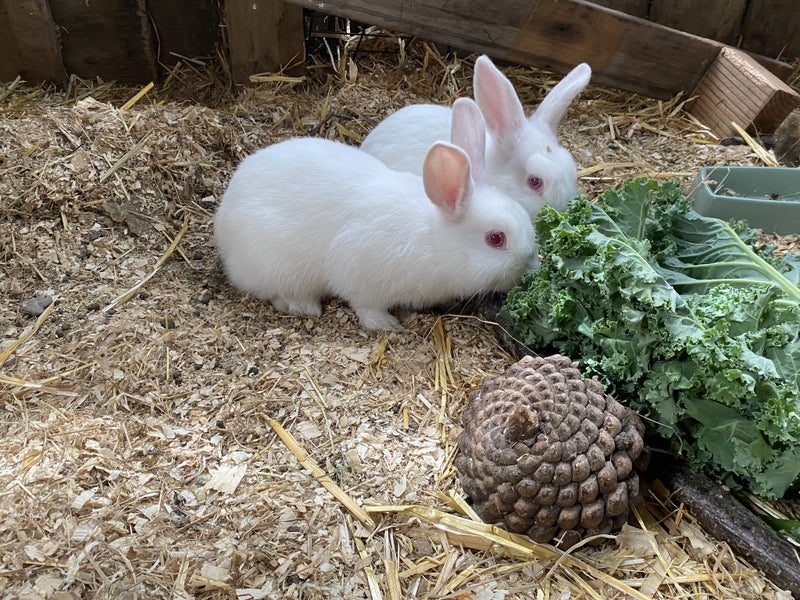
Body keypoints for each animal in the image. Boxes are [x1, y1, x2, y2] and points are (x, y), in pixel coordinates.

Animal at [213, 98, 538, 331]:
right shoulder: (359, 275)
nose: (531, 264)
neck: (434, 241)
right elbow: (365, 306)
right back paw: (304, 306)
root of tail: (222, 223)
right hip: (277, 268)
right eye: (495, 239)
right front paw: (388, 325)